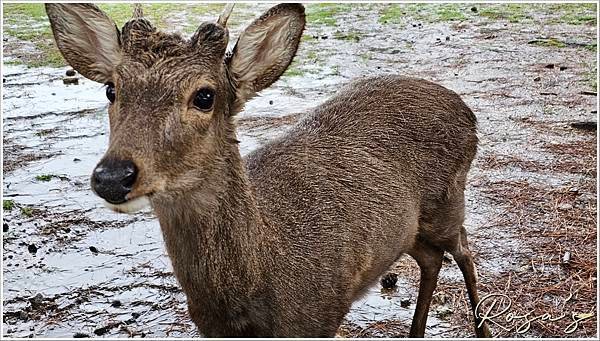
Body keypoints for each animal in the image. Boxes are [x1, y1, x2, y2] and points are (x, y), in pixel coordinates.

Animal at [45, 2, 492, 338]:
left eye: (204, 96)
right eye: (111, 89)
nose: (113, 176)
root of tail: (466, 109)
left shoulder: (321, 316)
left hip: (448, 203)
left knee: (463, 250)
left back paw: (483, 329)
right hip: (407, 229)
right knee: (431, 259)